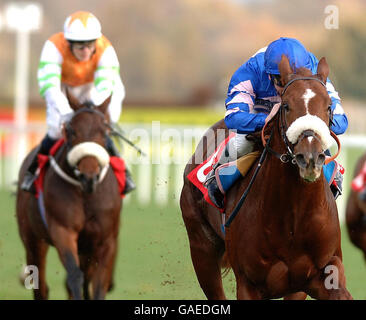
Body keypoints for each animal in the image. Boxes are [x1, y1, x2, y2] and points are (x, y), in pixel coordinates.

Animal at [15, 93, 122, 300]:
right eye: (72, 130)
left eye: (104, 130)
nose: (89, 176)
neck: (86, 194)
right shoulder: (62, 230)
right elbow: (74, 276)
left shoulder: (105, 241)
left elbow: (98, 285)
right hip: (32, 239)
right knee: (41, 286)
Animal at [182, 55, 354, 300]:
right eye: (286, 105)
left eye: (329, 106)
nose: (310, 158)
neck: (293, 216)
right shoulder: (248, 284)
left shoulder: (320, 275)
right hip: (201, 249)